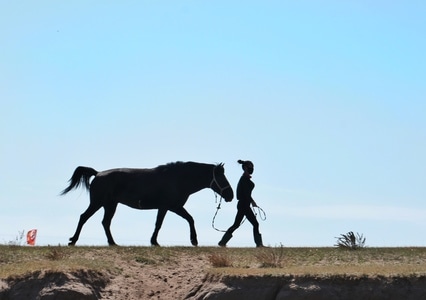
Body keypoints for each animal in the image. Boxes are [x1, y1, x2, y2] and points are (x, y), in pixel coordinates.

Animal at [60, 162, 233, 246]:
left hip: (110, 205)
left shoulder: (174, 207)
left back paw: (112, 242)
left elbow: (189, 219)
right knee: (84, 217)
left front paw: (194, 240)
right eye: (222, 177)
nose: (231, 195)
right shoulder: (168, 207)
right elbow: (160, 224)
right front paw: (155, 242)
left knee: (105, 222)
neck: (178, 179)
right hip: (98, 203)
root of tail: (98, 173)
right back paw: (73, 240)